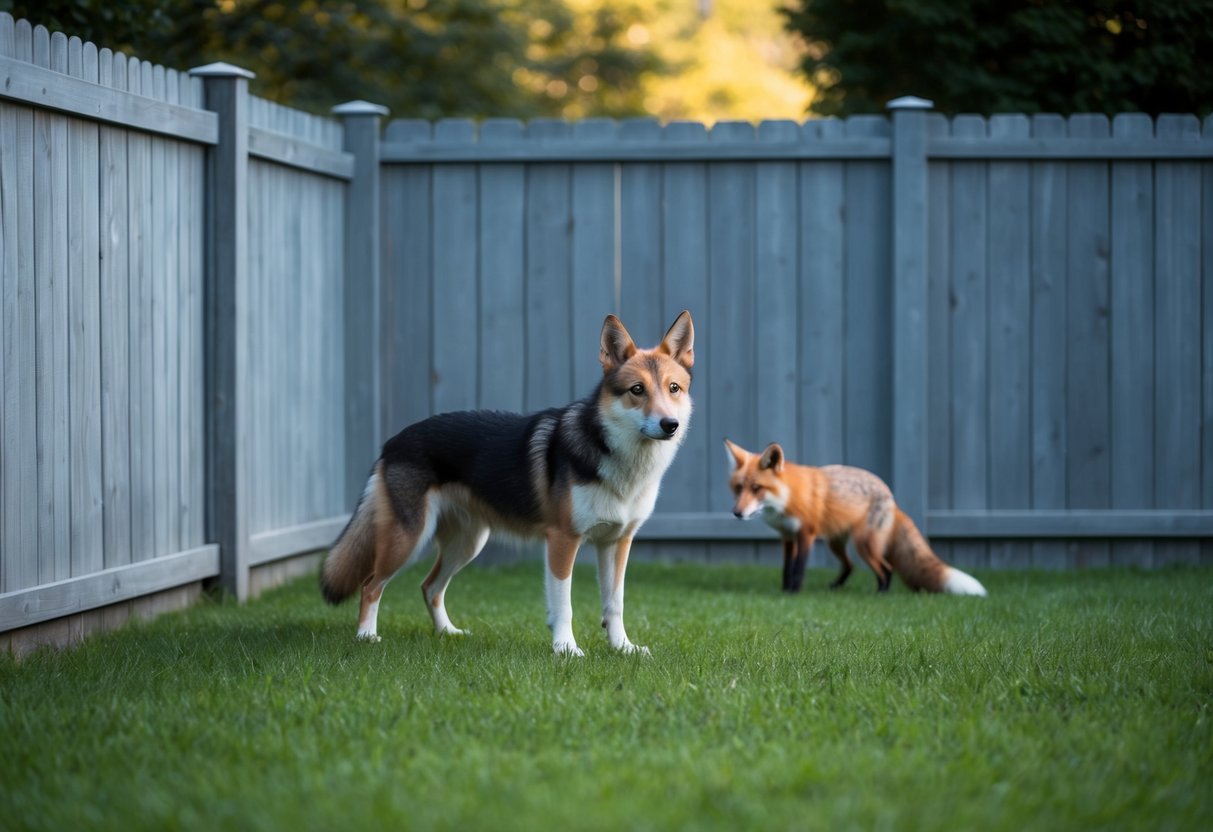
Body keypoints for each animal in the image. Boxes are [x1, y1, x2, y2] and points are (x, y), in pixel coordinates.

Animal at [320, 311, 696, 656]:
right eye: (637, 390)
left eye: (673, 389)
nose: (670, 425)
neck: (619, 457)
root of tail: (391, 442)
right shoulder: (563, 541)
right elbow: (564, 605)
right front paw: (566, 650)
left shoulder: (616, 543)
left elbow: (614, 605)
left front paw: (622, 648)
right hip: (409, 539)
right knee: (370, 586)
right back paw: (366, 637)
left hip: (467, 544)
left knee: (429, 587)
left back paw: (448, 633)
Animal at [724, 440, 986, 596]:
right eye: (738, 488)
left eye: (757, 488)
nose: (737, 512)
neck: (786, 498)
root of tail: (890, 496)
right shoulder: (787, 536)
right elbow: (787, 568)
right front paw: (785, 590)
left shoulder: (806, 533)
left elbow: (798, 568)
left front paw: (794, 592)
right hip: (836, 542)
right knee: (850, 566)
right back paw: (836, 587)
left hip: (864, 544)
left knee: (886, 568)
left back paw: (880, 594)